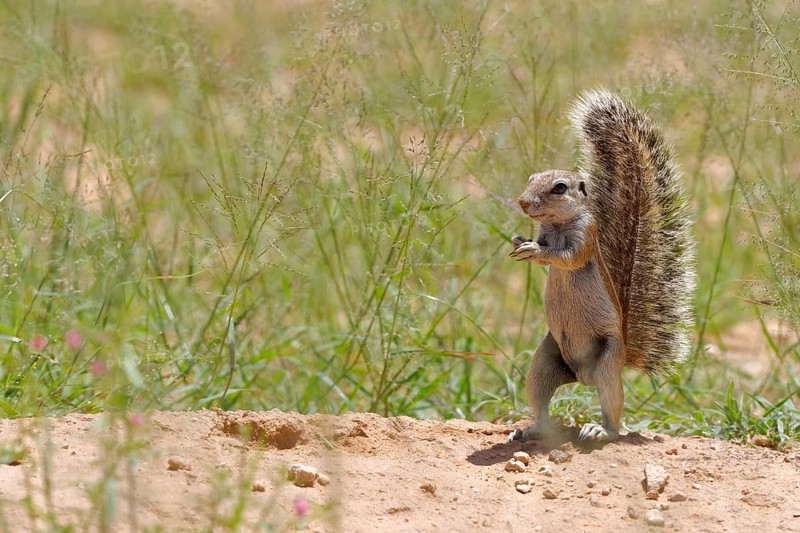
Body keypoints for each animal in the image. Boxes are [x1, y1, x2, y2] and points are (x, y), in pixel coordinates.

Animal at [508, 89, 695, 442]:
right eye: (531, 178)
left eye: (560, 187)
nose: (523, 202)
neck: (556, 226)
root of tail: (583, 377)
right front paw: (519, 242)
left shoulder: (584, 239)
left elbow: (566, 258)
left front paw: (533, 250)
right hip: (544, 361)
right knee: (541, 402)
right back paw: (529, 432)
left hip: (607, 364)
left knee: (613, 413)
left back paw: (599, 430)